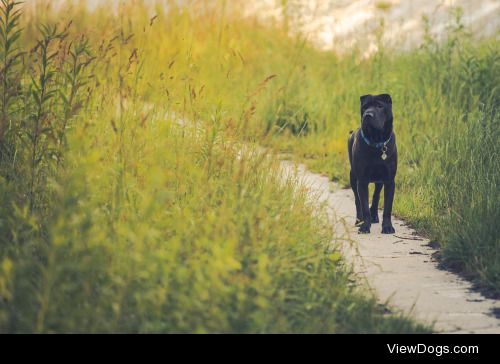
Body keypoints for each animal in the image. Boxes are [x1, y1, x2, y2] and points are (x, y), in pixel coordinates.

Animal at [348, 94, 398, 235]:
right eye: (365, 107)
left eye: (380, 106)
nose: (368, 115)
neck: (376, 142)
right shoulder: (362, 181)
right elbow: (364, 205)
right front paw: (365, 226)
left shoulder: (389, 181)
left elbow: (387, 208)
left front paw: (387, 227)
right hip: (353, 177)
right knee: (357, 200)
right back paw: (359, 220)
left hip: (379, 181)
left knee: (376, 196)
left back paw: (374, 216)